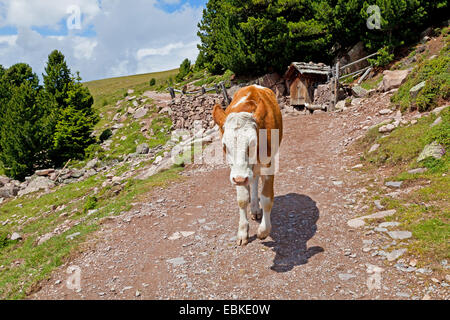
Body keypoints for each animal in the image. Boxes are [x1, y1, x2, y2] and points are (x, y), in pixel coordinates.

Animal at [213, 84, 284, 245]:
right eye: (224, 146)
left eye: (253, 143)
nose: (240, 179)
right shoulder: (236, 172)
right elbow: (242, 199)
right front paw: (242, 232)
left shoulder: (268, 165)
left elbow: (267, 198)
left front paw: (263, 231)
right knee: (253, 180)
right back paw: (254, 208)